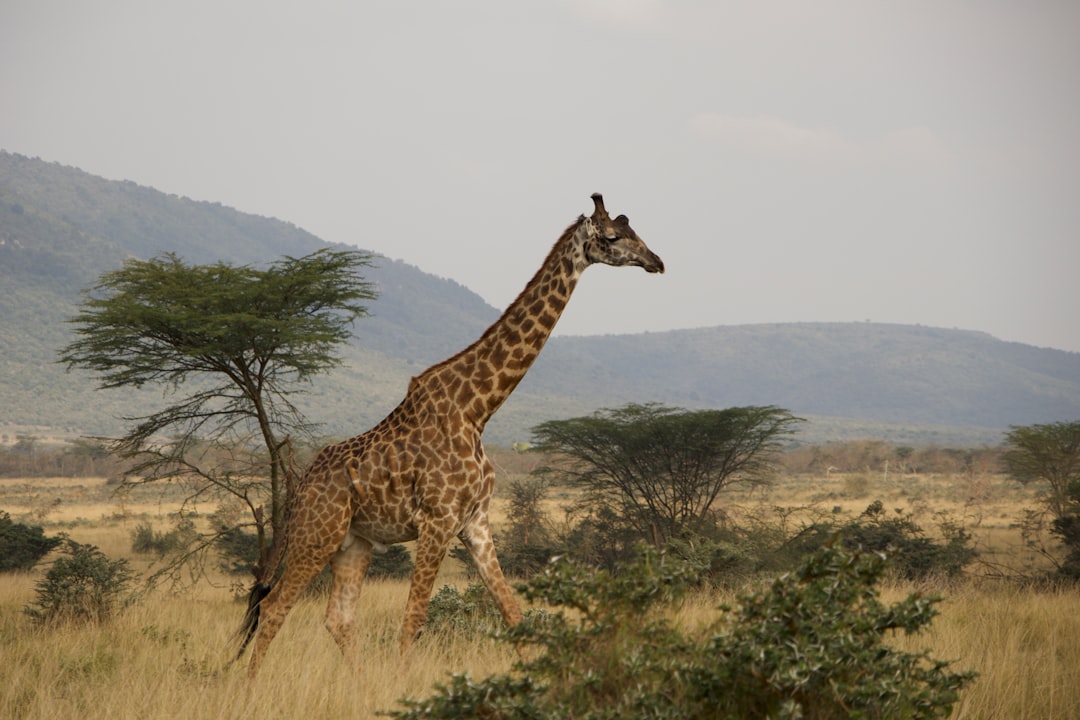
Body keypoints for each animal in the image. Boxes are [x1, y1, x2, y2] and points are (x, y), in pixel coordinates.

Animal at [236, 193, 664, 676]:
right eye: (612, 237)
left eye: (635, 231)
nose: (657, 261)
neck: (478, 410)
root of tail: (300, 487)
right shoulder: (437, 520)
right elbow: (415, 618)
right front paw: (402, 683)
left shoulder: (475, 521)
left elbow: (512, 613)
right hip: (317, 533)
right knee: (274, 608)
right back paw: (249, 686)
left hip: (354, 543)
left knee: (338, 618)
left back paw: (359, 680)